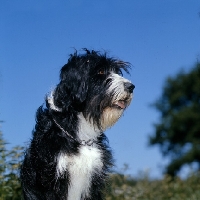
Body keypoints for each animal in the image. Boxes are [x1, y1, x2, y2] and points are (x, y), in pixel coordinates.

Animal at [20, 48, 135, 200]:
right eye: (100, 72)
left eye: (116, 72)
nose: (131, 87)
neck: (81, 135)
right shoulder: (51, 180)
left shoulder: (93, 181)